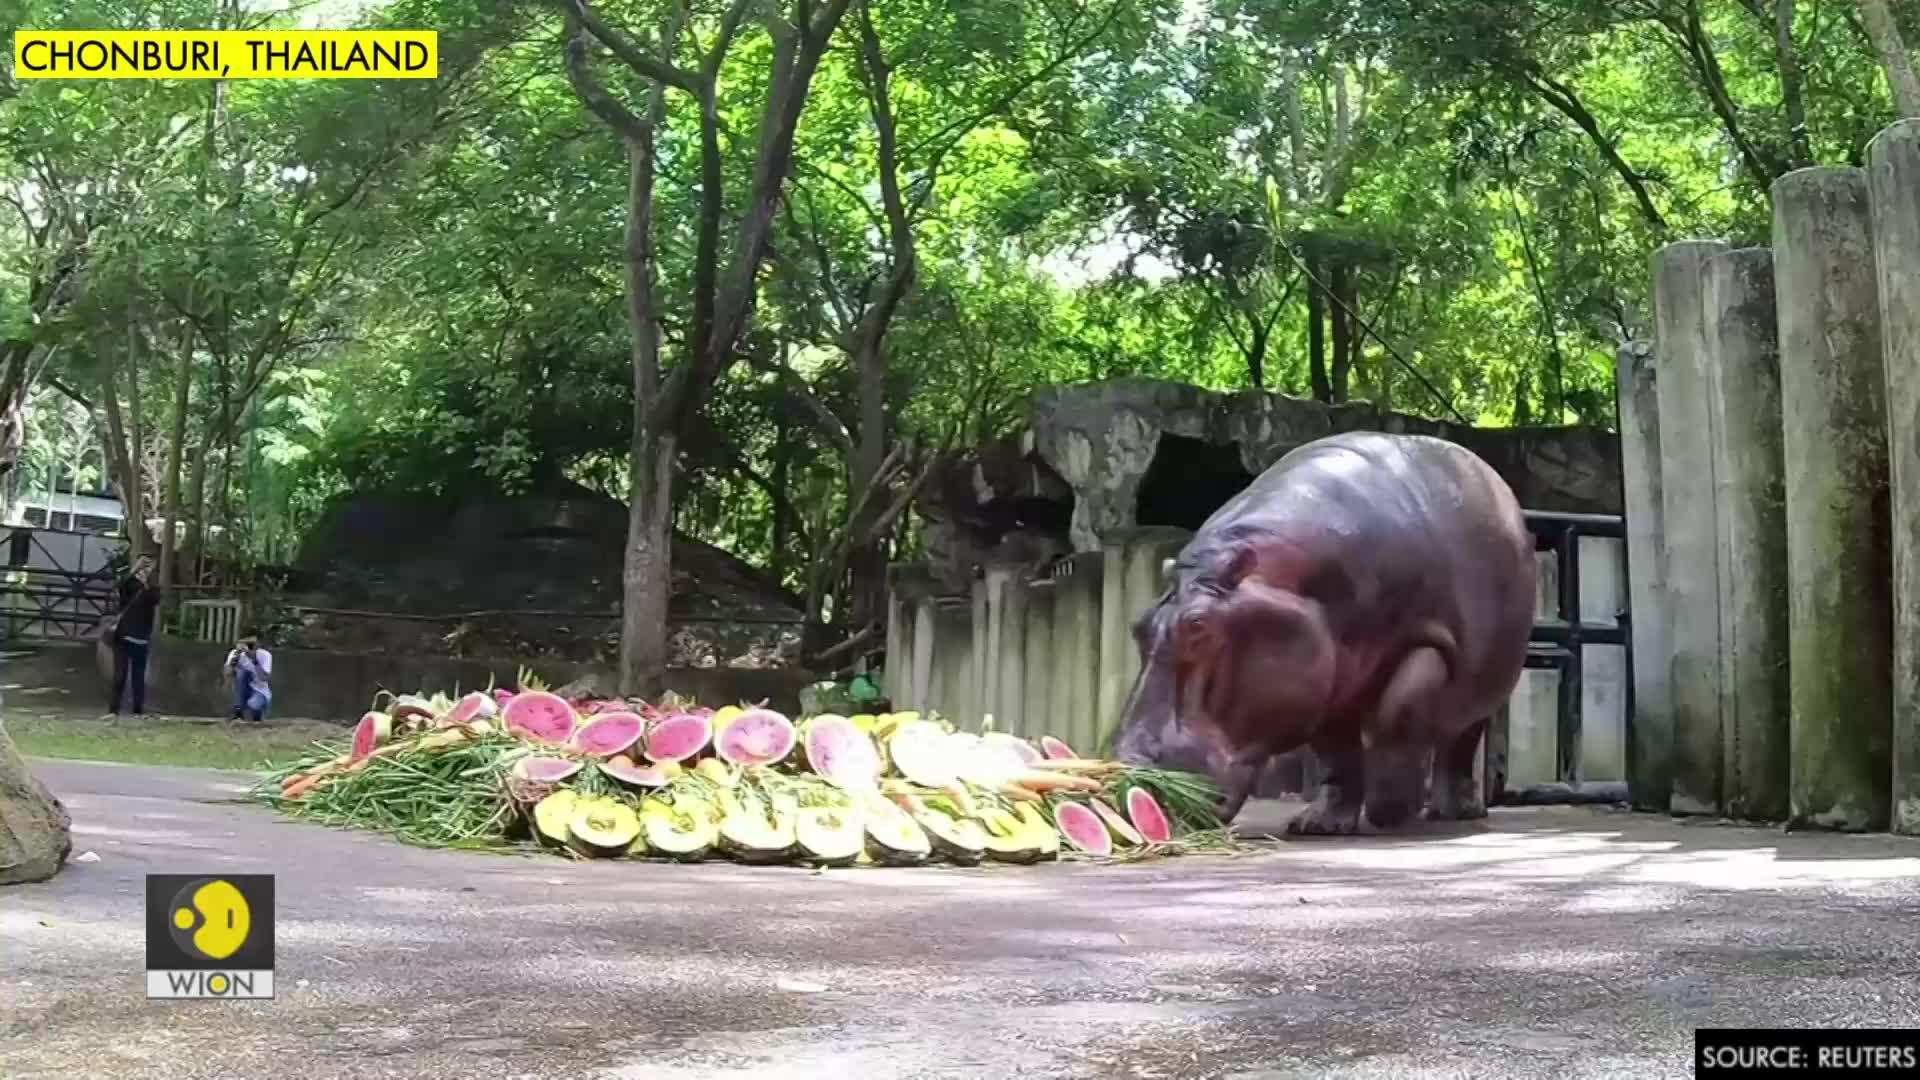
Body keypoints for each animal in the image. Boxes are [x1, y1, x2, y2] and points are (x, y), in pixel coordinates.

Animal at [1111, 431, 1535, 835]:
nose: (1129, 774)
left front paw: (1388, 812)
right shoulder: (1323, 678)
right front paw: (1320, 824)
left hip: (1489, 680)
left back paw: (1454, 811)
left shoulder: (1426, 646)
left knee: (1460, 738)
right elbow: (1335, 752)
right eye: (1138, 624)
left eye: (1198, 625)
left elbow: (1397, 713)